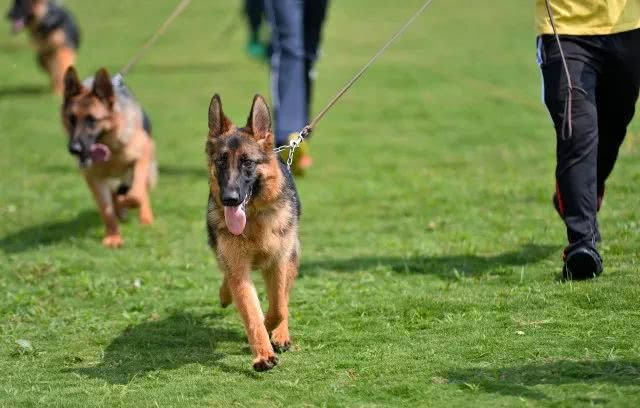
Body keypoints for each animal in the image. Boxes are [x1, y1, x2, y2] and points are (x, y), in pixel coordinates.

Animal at [62, 66, 156, 249]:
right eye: (71, 119)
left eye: (91, 120)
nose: (74, 149)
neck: (110, 151)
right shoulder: (94, 178)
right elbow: (107, 210)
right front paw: (113, 237)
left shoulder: (142, 157)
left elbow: (135, 194)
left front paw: (125, 203)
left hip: (148, 170)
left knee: (140, 192)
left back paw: (144, 218)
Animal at [208, 94, 302, 372]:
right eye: (220, 161)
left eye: (247, 162)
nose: (229, 199)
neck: (254, 221)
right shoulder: (238, 268)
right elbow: (251, 311)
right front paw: (263, 355)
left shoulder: (279, 263)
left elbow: (279, 307)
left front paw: (272, 328)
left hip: (291, 259)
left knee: (283, 299)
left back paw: (280, 334)